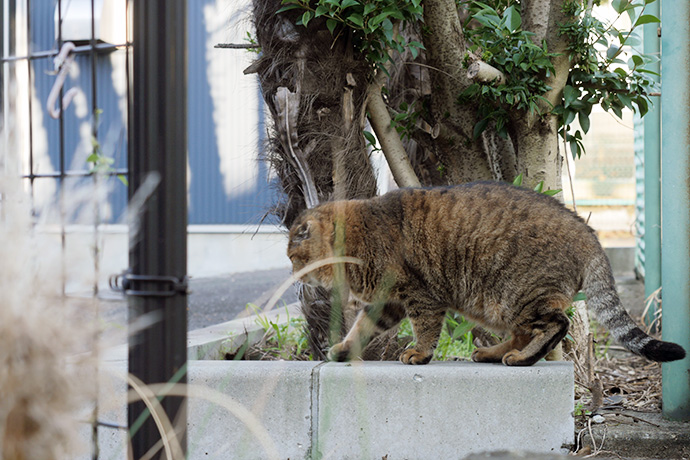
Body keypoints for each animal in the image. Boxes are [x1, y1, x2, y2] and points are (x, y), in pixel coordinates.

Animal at [284, 181, 684, 364]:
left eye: (293, 257)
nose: (295, 278)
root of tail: (588, 231)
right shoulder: (387, 302)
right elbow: (360, 327)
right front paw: (343, 349)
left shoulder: (419, 296)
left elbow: (425, 330)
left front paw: (419, 354)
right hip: (508, 306)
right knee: (525, 332)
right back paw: (492, 354)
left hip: (520, 295)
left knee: (557, 325)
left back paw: (521, 358)